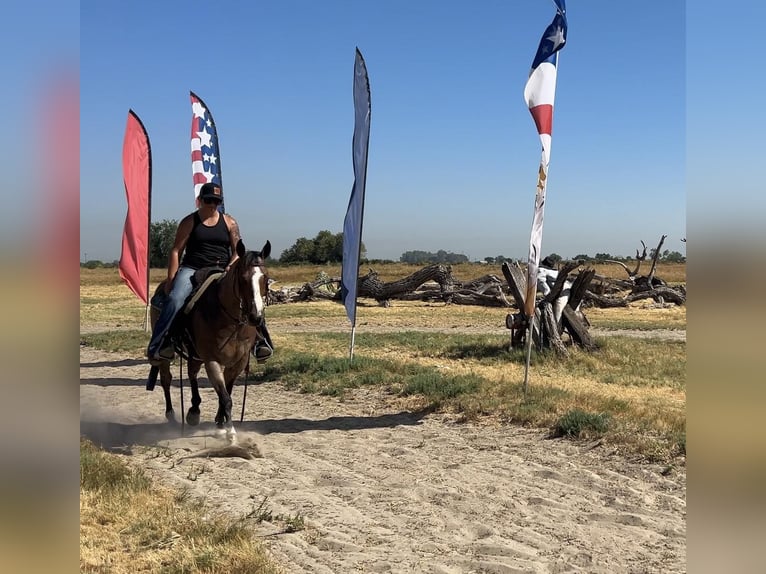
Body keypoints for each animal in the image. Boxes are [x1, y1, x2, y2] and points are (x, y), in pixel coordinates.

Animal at [148, 239, 271, 439]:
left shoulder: (237, 362)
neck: (231, 322)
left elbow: (226, 393)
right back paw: (172, 416)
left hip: (195, 354)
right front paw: (230, 432)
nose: (256, 317)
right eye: (242, 279)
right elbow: (225, 397)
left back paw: (193, 411)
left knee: (191, 373)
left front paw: (220, 424)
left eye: (265, 279)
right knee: (166, 379)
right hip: (169, 355)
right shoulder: (212, 360)